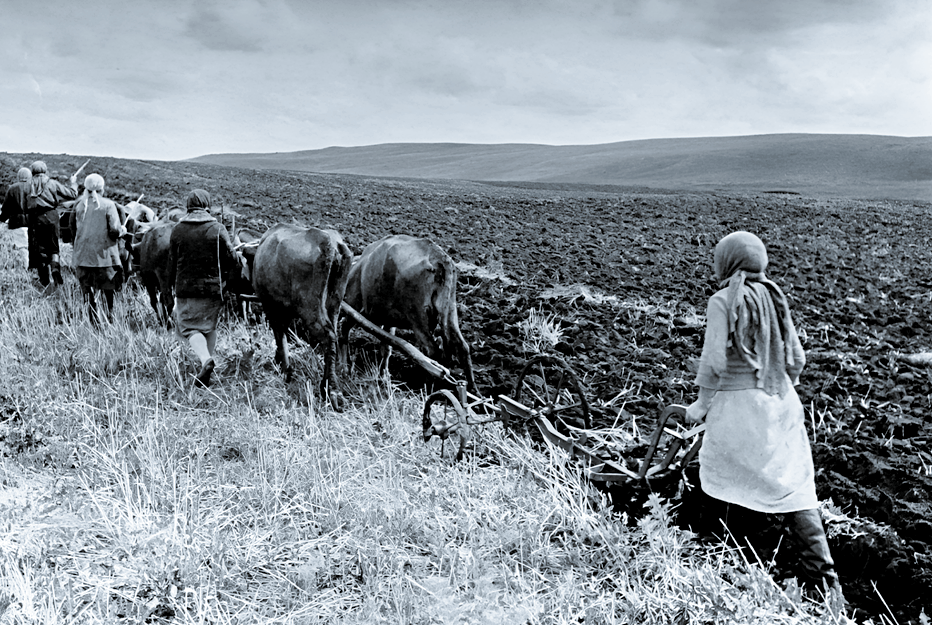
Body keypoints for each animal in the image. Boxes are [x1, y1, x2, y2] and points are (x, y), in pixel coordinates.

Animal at [249, 222, 352, 408]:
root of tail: (331, 244)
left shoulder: (270, 305)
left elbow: (279, 334)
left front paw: (285, 368)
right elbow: (282, 333)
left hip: (310, 308)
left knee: (329, 337)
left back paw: (330, 390)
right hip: (334, 303)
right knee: (335, 335)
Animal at [340, 233, 474, 390]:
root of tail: (439, 257)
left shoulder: (355, 306)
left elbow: (344, 331)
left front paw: (343, 368)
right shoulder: (388, 320)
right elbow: (386, 347)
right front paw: (383, 377)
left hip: (418, 318)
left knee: (432, 351)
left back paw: (428, 387)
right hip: (449, 310)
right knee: (461, 347)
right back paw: (472, 388)